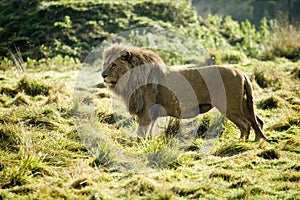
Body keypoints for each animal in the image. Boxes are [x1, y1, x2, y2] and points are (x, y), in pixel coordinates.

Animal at [101, 43, 268, 141]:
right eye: (105, 64)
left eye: (113, 65)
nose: (103, 75)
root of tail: (241, 73)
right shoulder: (151, 113)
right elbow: (150, 131)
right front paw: (149, 143)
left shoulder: (146, 112)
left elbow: (141, 133)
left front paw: (140, 146)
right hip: (244, 105)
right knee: (258, 121)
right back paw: (255, 142)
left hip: (230, 106)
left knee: (245, 125)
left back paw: (239, 144)